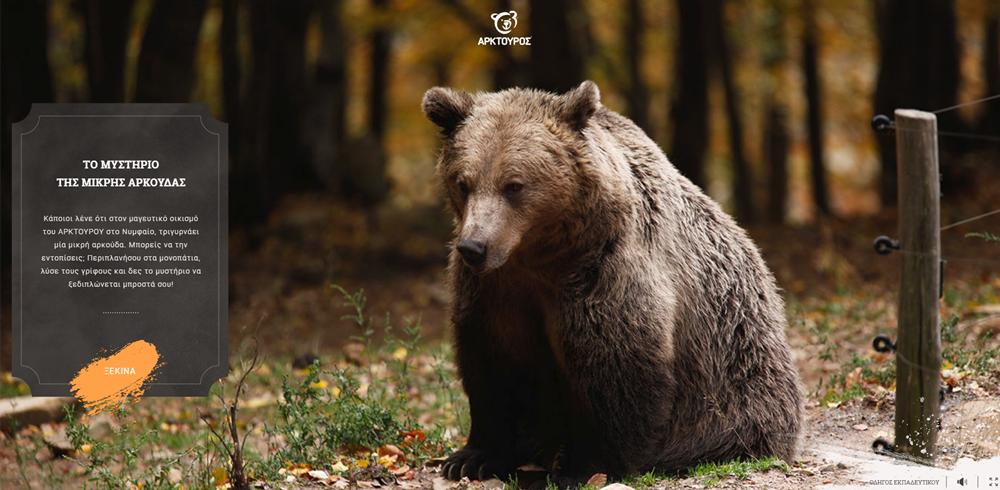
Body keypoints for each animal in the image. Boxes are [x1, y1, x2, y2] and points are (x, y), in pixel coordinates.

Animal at [422, 81, 804, 486]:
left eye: (514, 185)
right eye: (464, 183)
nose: (474, 246)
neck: (539, 256)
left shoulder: (601, 274)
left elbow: (614, 369)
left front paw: (580, 467)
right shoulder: (494, 290)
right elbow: (491, 364)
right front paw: (471, 457)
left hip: (735, 374)